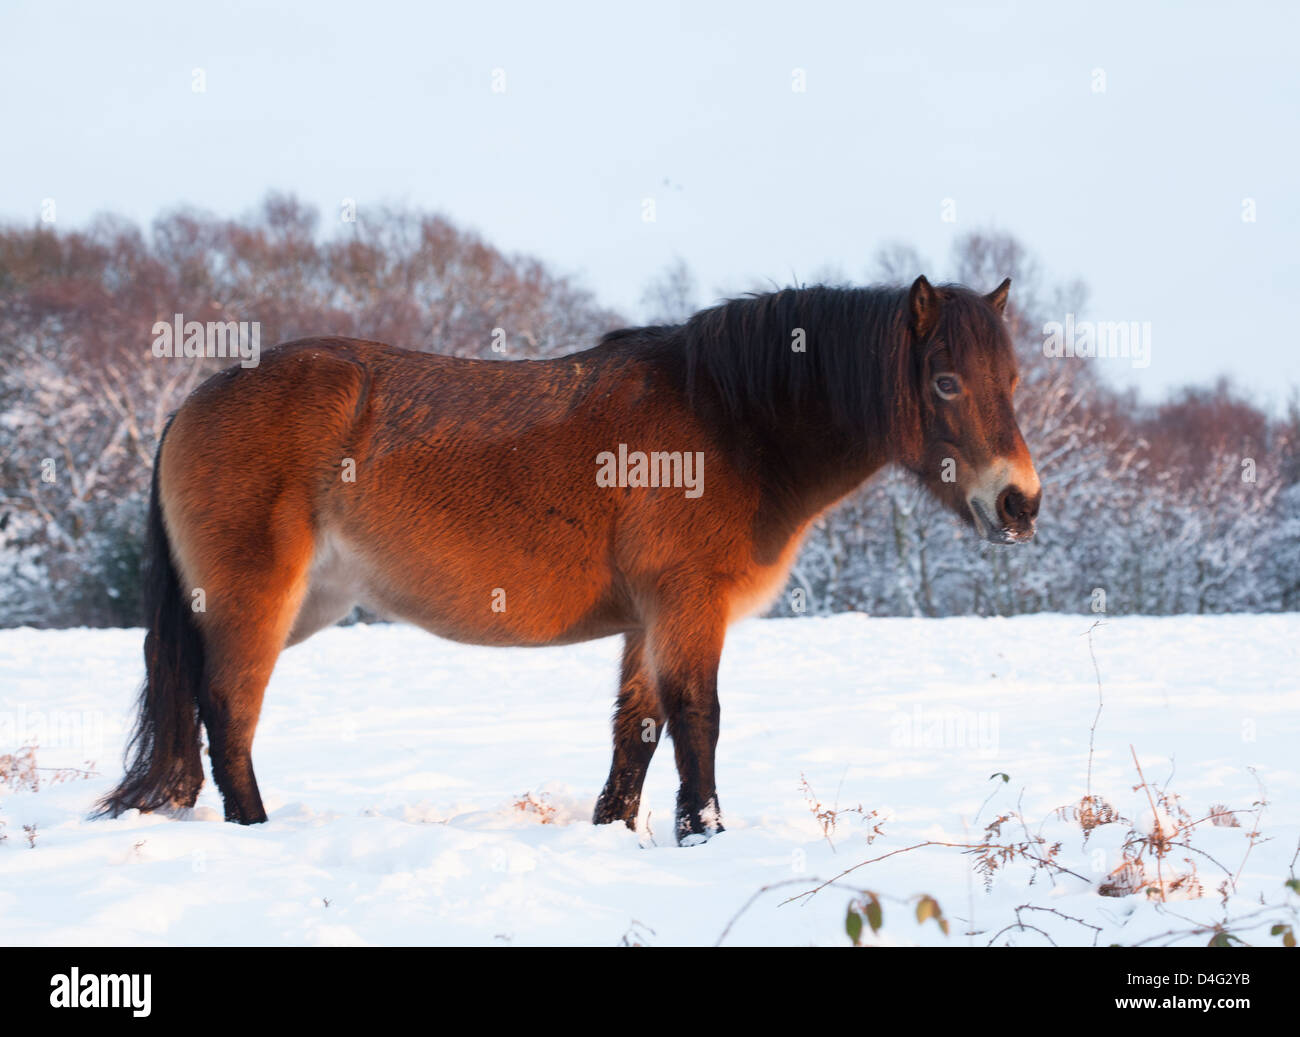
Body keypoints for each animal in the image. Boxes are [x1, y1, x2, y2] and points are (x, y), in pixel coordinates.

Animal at [95, 274, 1040, 845]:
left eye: (1014, 381)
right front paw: (706, 833)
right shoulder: (688, 608)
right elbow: (699, 722)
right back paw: (255, 830)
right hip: (257, 601)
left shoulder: (647, 622)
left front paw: (617, 831)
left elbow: (637, 734)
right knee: (229, 713)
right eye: (945, 382)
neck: (725, 420)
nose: (1019, 503)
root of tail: (197, 398)